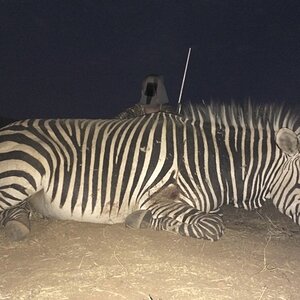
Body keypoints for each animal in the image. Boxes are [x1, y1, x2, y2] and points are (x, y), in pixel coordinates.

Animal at [0, 102, 298, 240]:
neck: (211, 162)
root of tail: (7, 127)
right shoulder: (158, 198)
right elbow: (212, 226)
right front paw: (140, 220)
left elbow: (212, 219)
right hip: (25, 172)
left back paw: (20, 222)